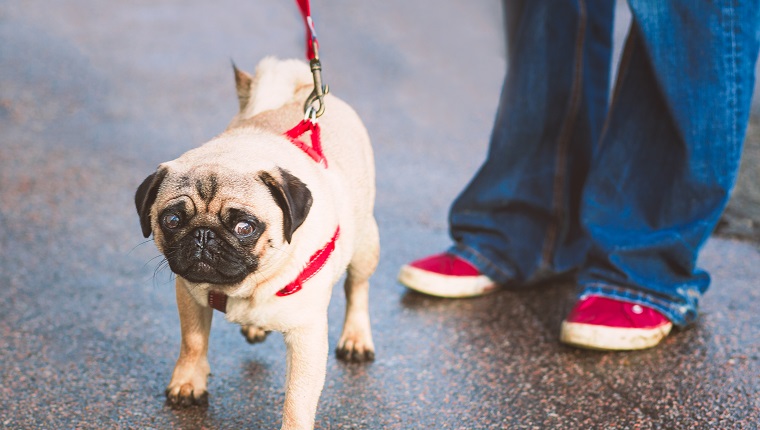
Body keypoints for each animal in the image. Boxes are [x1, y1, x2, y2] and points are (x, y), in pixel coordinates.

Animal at [135, 58, 378, 430]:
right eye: (172, 220)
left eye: (245, 227)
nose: (203, 235)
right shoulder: (188, 294)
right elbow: (193, 341)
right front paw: (188, 383)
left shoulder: (307, 335)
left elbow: (297, 398)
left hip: (365, 244)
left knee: (358, 289)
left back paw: (355, 337)